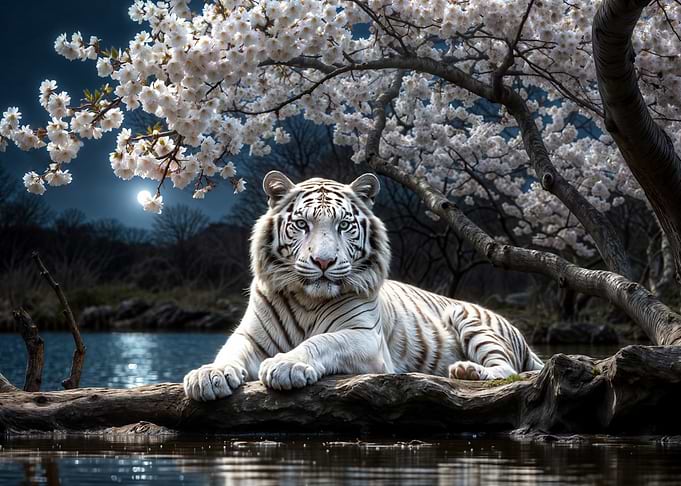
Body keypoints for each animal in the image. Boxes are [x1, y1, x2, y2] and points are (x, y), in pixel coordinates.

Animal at [183, 171, 543, 401]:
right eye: (302, 224)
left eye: (343, 225)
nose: (323, 262)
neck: (307, 299)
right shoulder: (251, 336)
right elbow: (229, 351)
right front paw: (209, 375)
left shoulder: (366, 338)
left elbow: (322, 341)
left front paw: (286, 364)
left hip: (470, 319)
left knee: (508, 370)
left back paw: (467, 371)